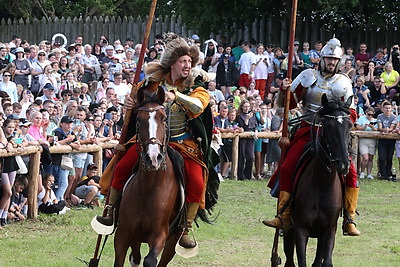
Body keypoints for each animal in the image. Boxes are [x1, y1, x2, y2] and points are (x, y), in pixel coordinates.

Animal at [112, 87, 181, 266]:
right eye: (139, 119)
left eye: (163, 119)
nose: (153, 157)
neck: (149, 188)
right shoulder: (123, 234)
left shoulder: (159, 235)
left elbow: (150, 260)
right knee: (135, 256)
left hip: (173, 239)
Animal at [284, 95, 354, 266]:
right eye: (328, 126)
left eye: (349, 125)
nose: (344, 164)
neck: (321, 184)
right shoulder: (300, 230)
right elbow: (301, 261)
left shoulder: (328, 231)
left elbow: (325, 261)